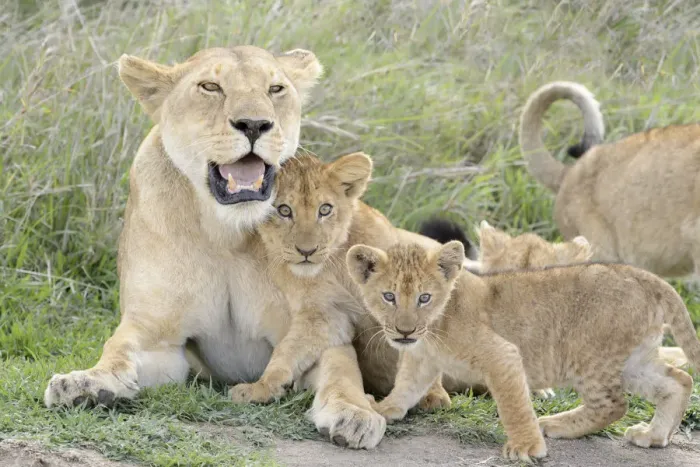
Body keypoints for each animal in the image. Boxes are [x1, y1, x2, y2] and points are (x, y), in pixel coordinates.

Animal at [347, 240, 700, 461]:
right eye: (389, 296)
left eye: (424, 298)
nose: (405, 331)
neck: (433, 329)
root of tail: (645, 276)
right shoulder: (421, 358)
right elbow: (406, 386)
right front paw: (385, 408)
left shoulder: (502, 355)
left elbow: (513, 405)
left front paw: (527, 448)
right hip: (633, 360)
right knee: (679, 380)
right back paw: (654, 435)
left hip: (590, 355)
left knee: (613, 405)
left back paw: (556, 425)